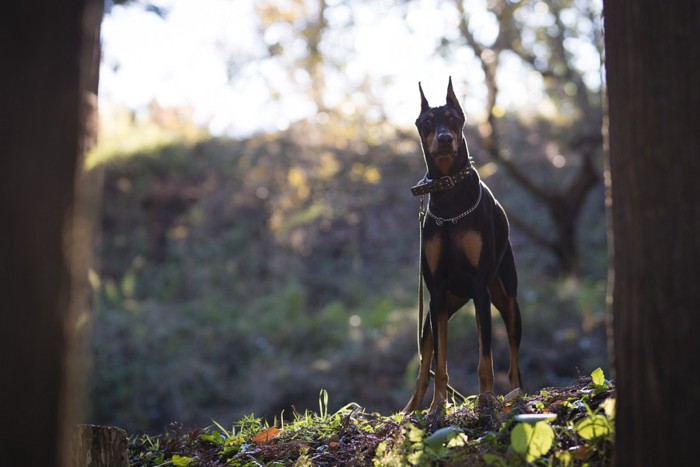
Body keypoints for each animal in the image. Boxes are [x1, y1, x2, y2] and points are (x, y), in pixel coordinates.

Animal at [402, 78, 524, 414]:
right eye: (427, 122)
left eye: (453, 119)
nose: (444, 139)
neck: (449, 194)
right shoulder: (436, 292)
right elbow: (440, 362)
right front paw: (437, 406)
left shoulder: (480, 287)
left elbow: (485, 358)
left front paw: (485, 398)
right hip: (436, 313)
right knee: (425, 362)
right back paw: (410, 410)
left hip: (507, 301)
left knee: (514, 360)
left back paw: (514, 394)